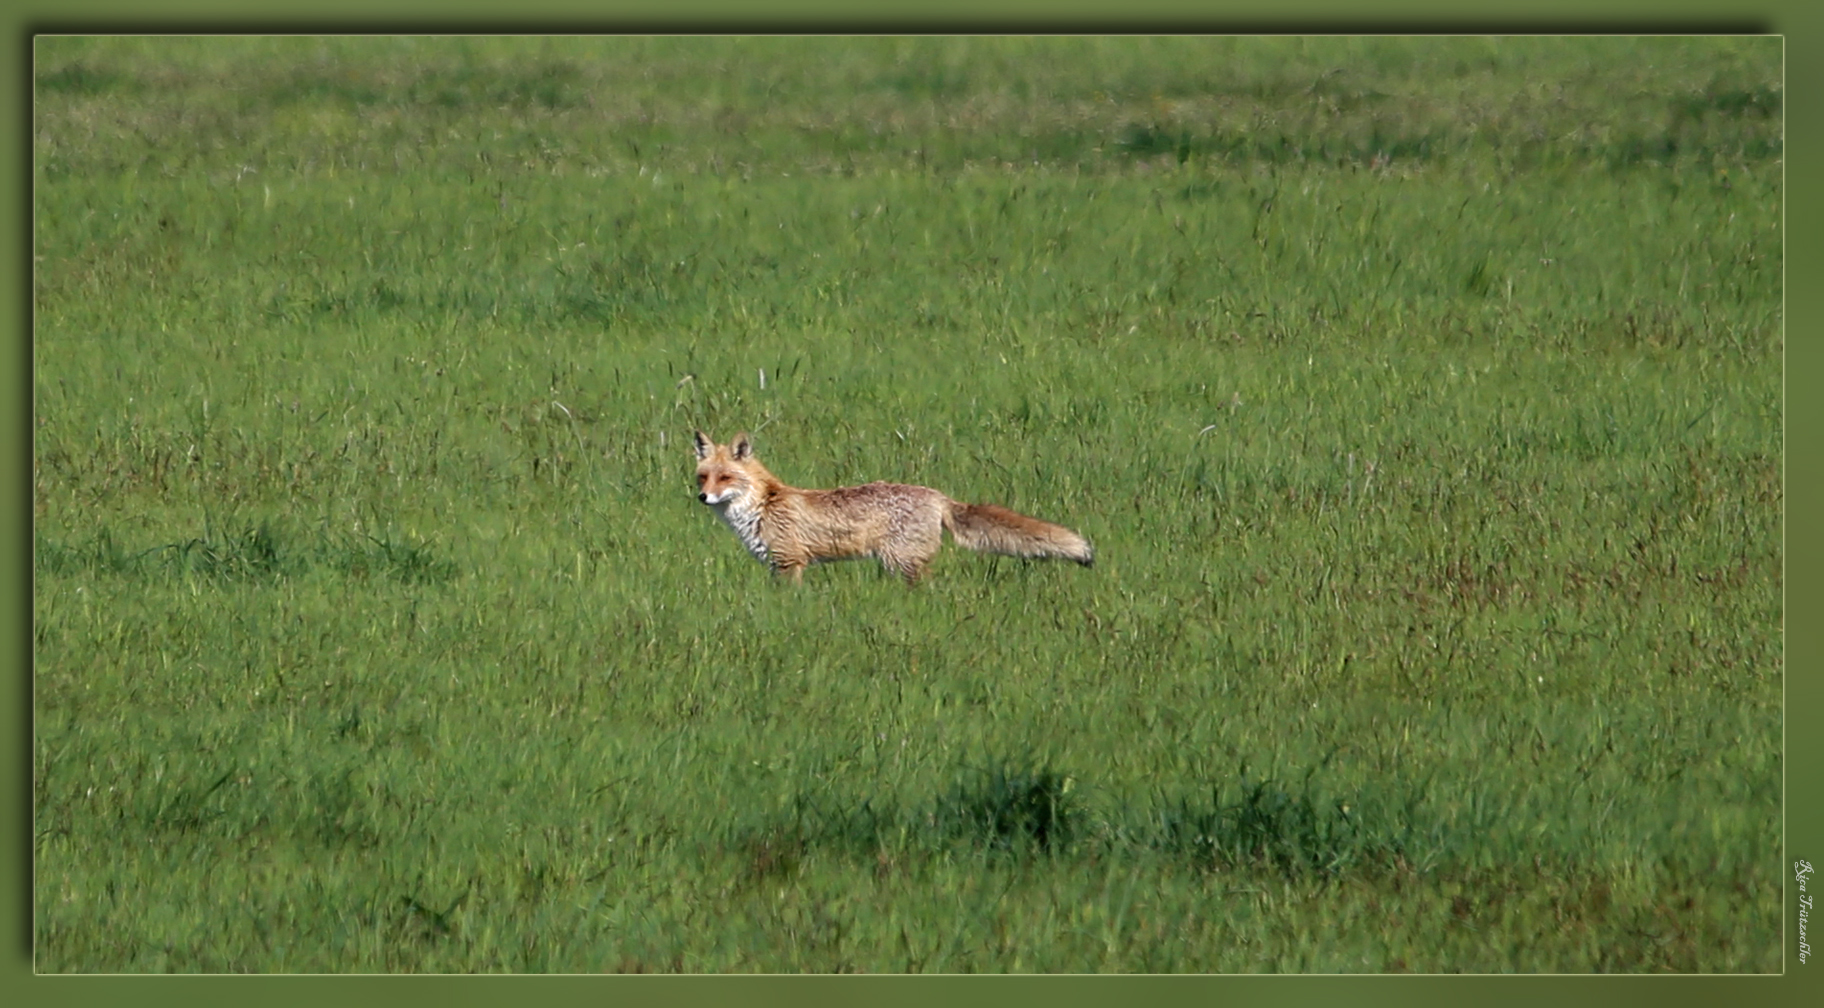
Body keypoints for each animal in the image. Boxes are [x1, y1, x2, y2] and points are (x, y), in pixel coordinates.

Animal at [693, 430, 1094, 586]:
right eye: (703, 478)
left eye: (725, 478)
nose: (703, 498)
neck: (762, 507)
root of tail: (937, 495)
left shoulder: (791, 562)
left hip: (903, 563)